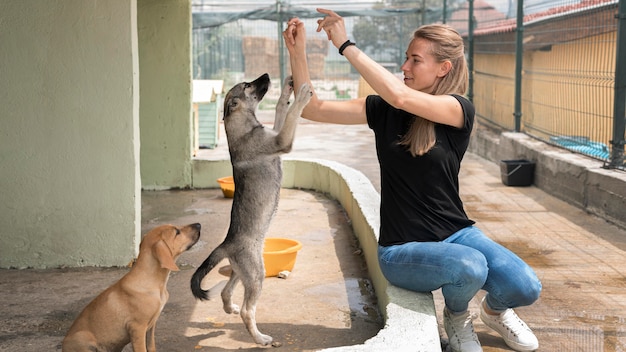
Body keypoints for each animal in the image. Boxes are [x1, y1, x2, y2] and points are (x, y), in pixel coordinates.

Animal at [62, 223, 201, 352]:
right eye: (177, 232)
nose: (199, 224)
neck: (155, 283)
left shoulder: (151, 326)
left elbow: (151, 346)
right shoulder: (137, 327)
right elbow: (142, 349)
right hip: (83, 338)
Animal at [188, 73, 310, 346]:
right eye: (246, 86)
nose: (267, 75)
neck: (242, 126)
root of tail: (226, 243)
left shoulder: (276, 134)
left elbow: (281, 110)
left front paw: (287, 90)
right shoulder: (282, 140)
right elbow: (293, 113)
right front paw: (302, 95)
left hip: (240, 271)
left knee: (225, 292)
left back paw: (230, 309)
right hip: (255, 274)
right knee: (247, 311)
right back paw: (260, 338)